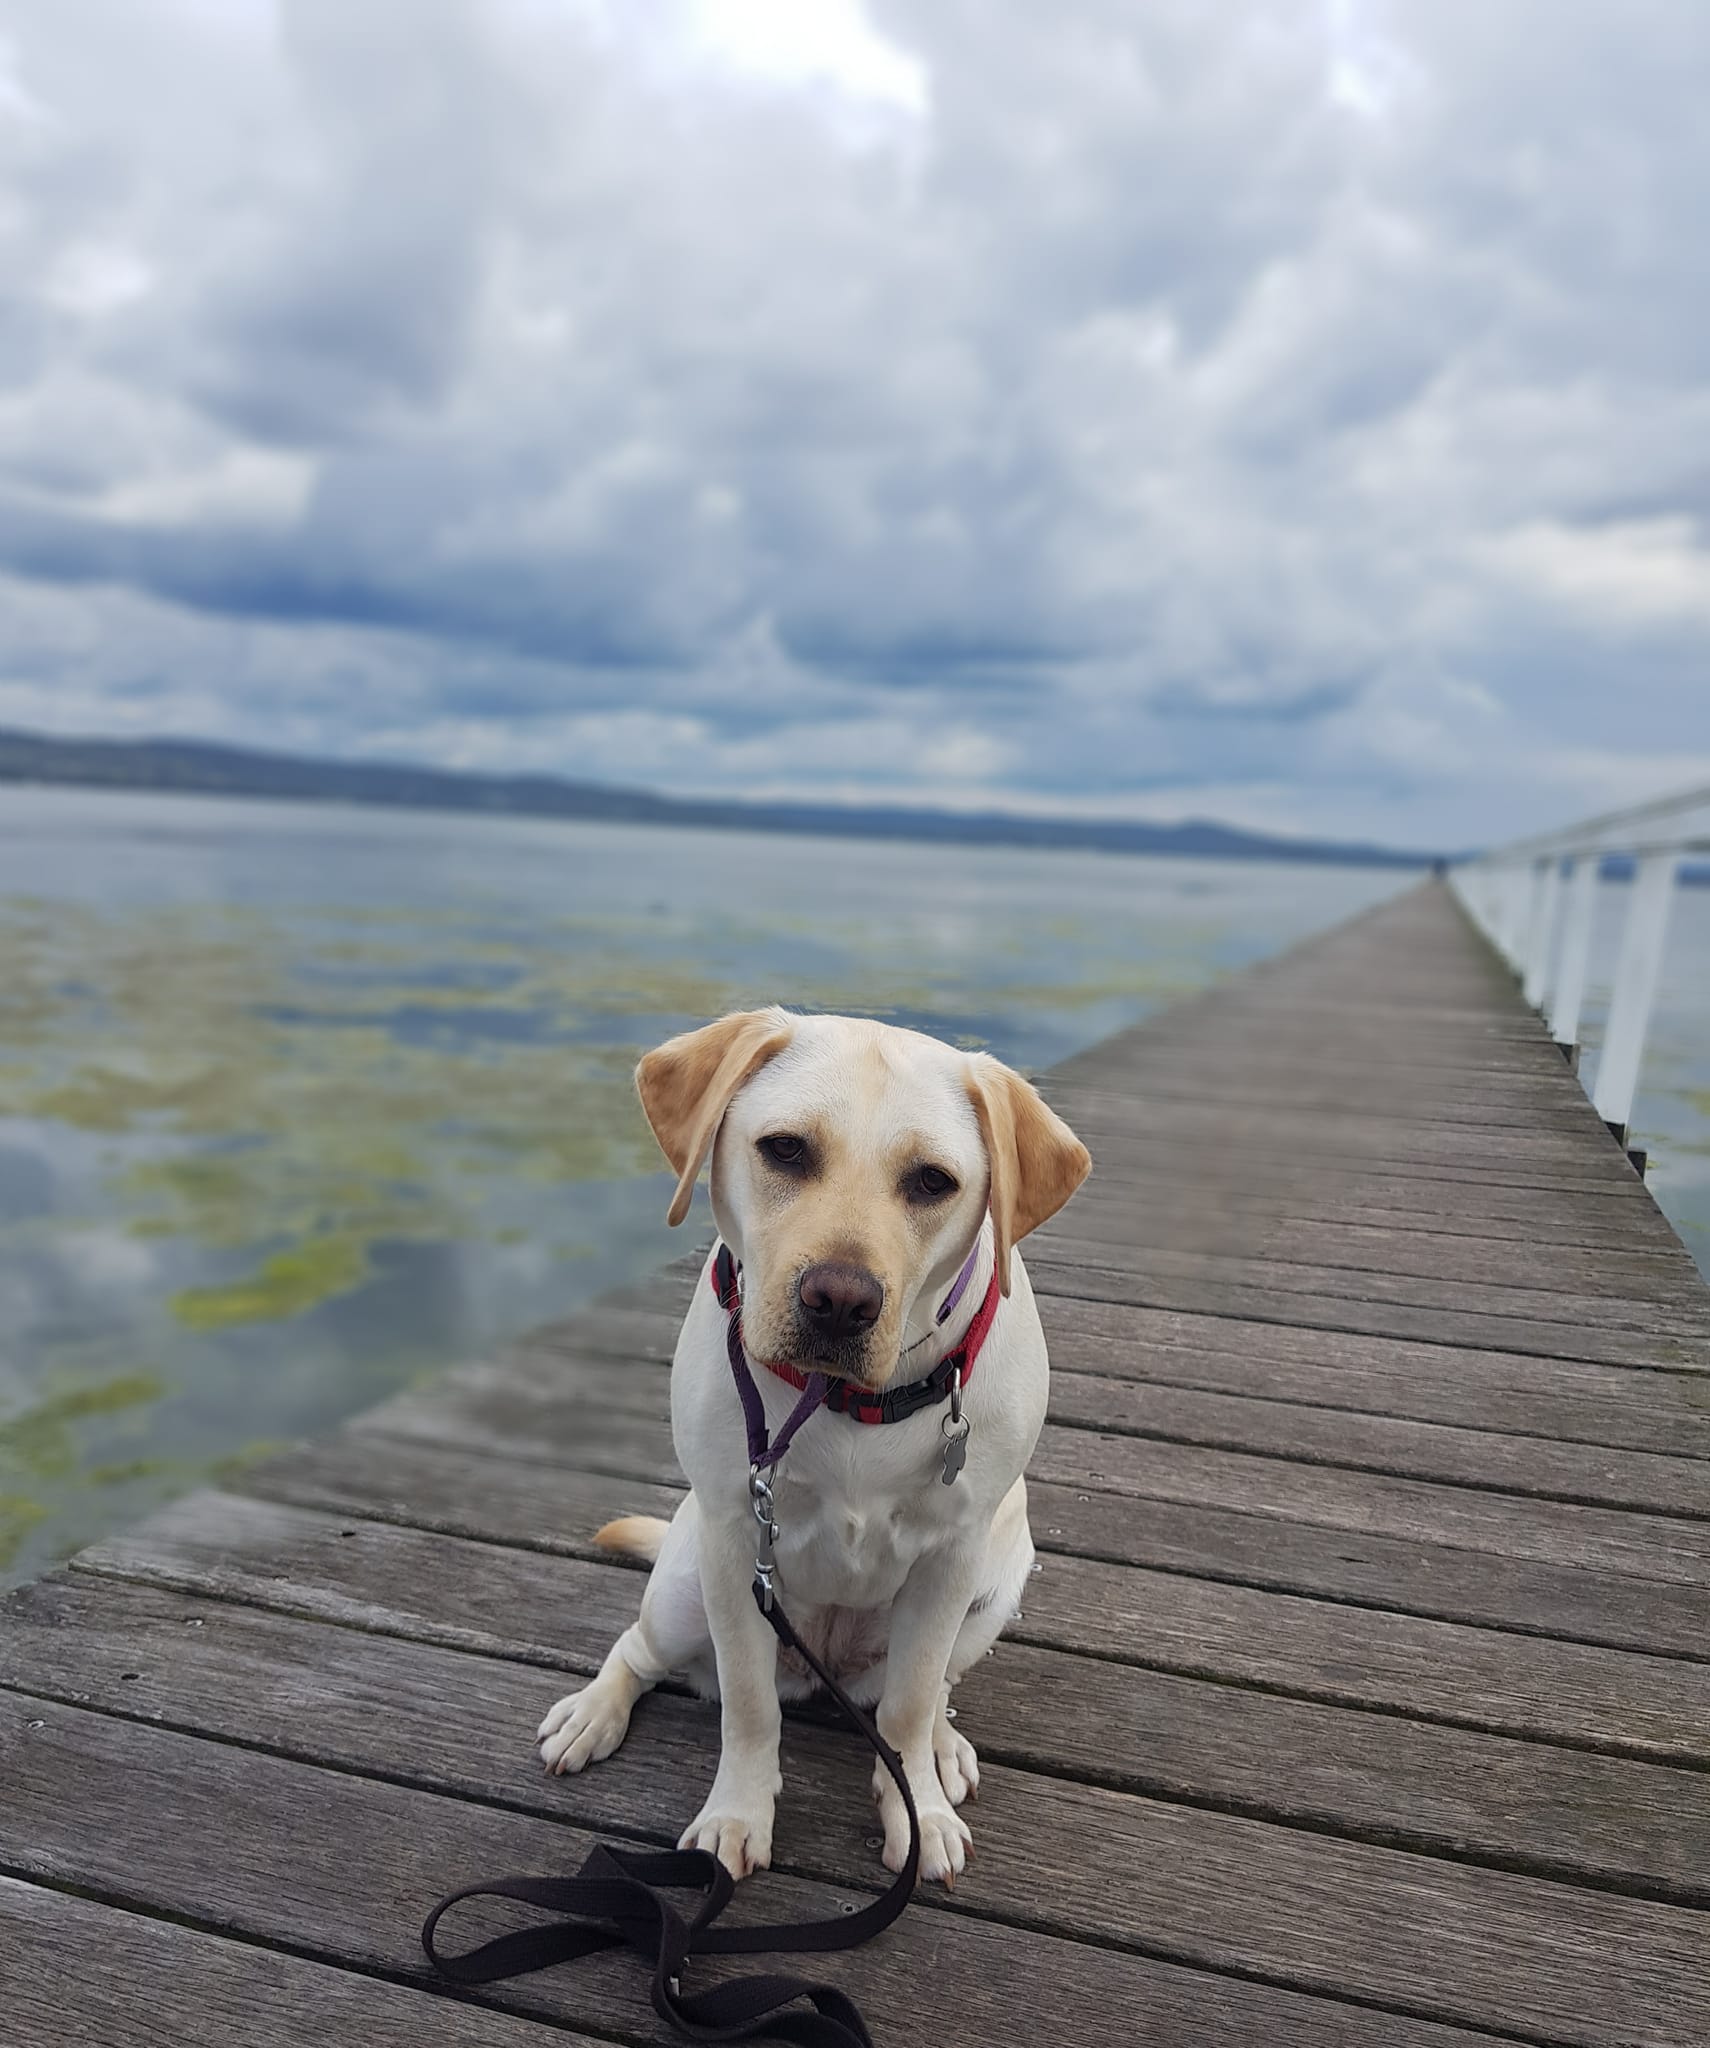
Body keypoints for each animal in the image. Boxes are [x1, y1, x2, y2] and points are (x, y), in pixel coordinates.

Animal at [540, 1007, 1089, 1884]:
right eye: (787, 1149)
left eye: (933, 1181)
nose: (839, 1300)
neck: (849, 1401)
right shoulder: (738, 1542)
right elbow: (748, 1705)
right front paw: (737, 1814)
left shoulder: (953, 1557)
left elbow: (908, 1703)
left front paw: (918, 1806)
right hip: (683, 1593)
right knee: (639, 1650)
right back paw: (592, 1714)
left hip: (994, 1586)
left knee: (930, 1688)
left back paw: (944, 1745)